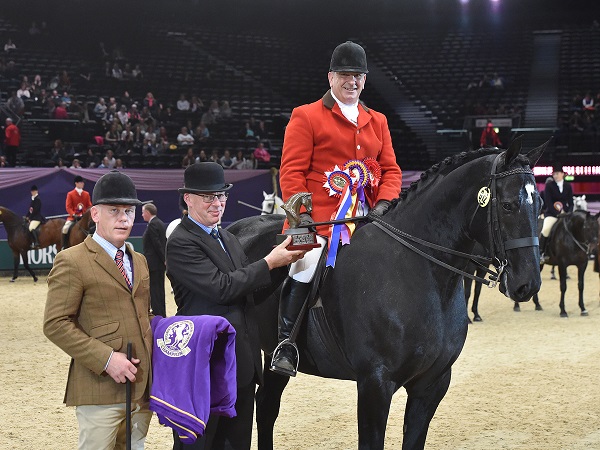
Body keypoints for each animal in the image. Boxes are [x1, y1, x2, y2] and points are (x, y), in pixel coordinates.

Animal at [227, 139, 548, 448]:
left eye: (540, 205)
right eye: (507, 205)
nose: (528, 284)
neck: (421, 274)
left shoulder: (431, 385)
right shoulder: (375, 384)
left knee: (266, 407)